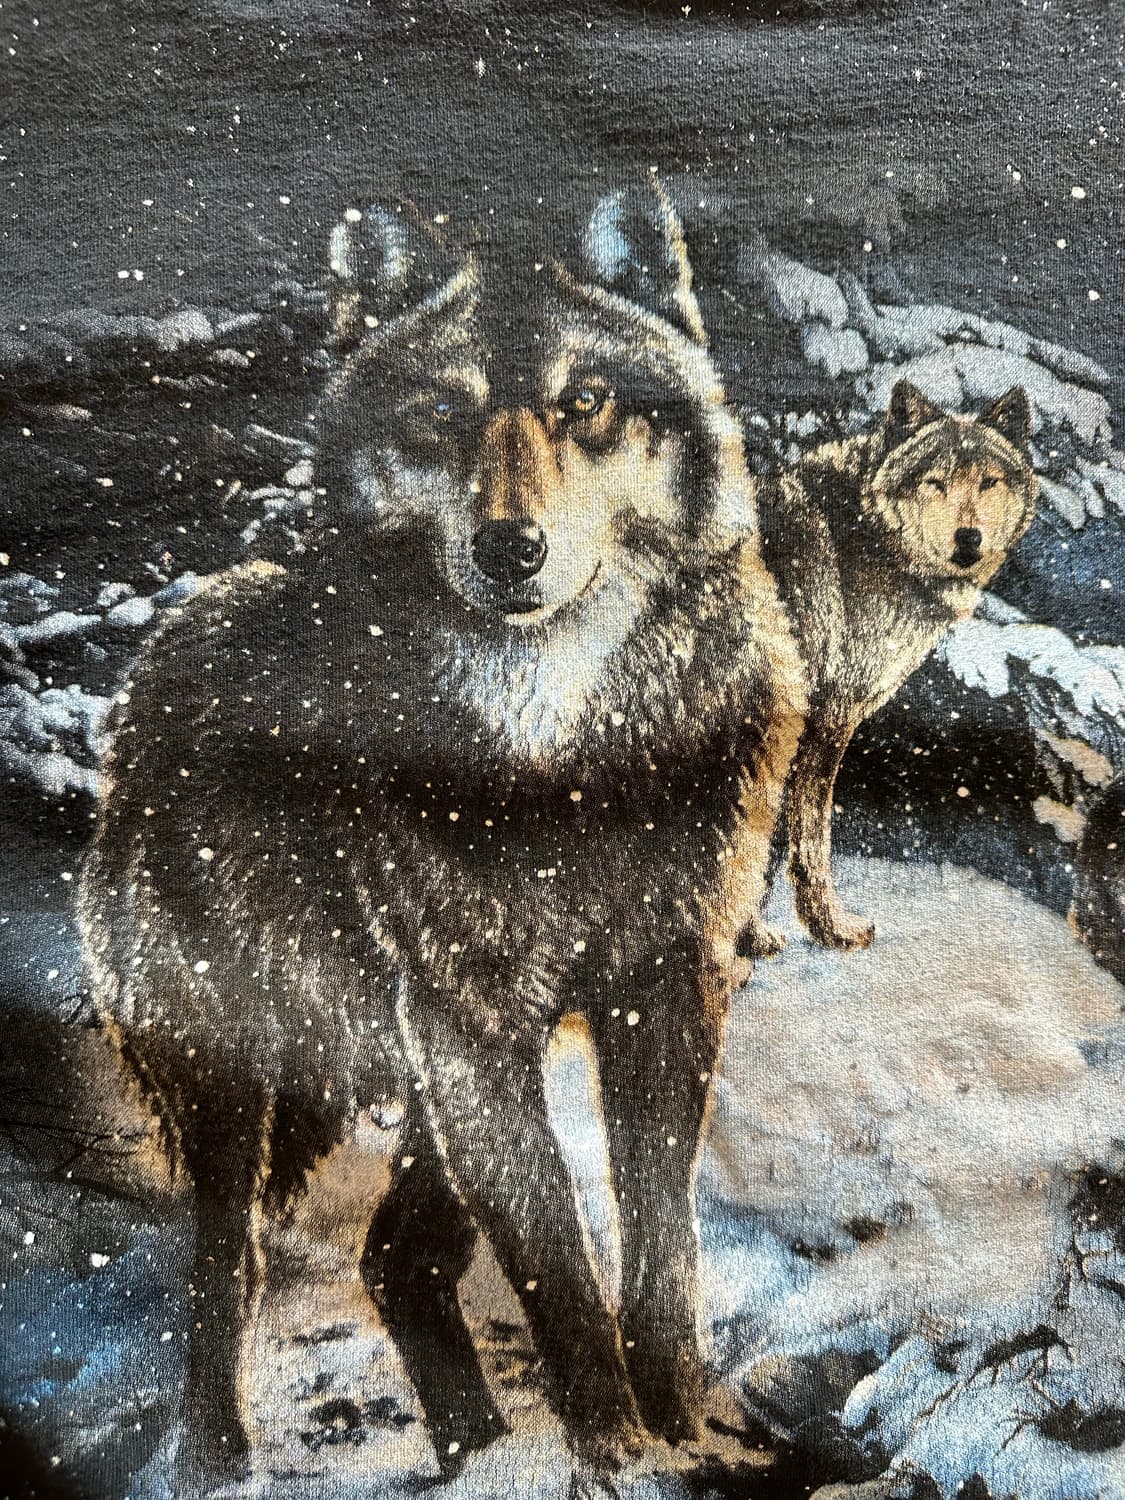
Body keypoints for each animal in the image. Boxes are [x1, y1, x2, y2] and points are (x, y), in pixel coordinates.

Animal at [78, 181, 807, 1490]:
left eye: (584, 403)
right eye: (441, 414)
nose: (511, 546)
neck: (560, 762)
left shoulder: (665, 984)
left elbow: (660, 1240)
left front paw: (678, 1428)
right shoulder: (475, 1026)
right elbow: (559, 1266)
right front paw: (615, 1449)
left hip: (423, 1088)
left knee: (394, 1260)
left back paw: (476, 1449)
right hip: (249, 1080)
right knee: (225, 1272)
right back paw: (220, 1458)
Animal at [732, 380, 1037, 953]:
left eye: (988, 482)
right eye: (935, 482)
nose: (968, 538)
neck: (870, 537)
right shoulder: (824, 718)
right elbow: (804, 836)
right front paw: (823, 929)